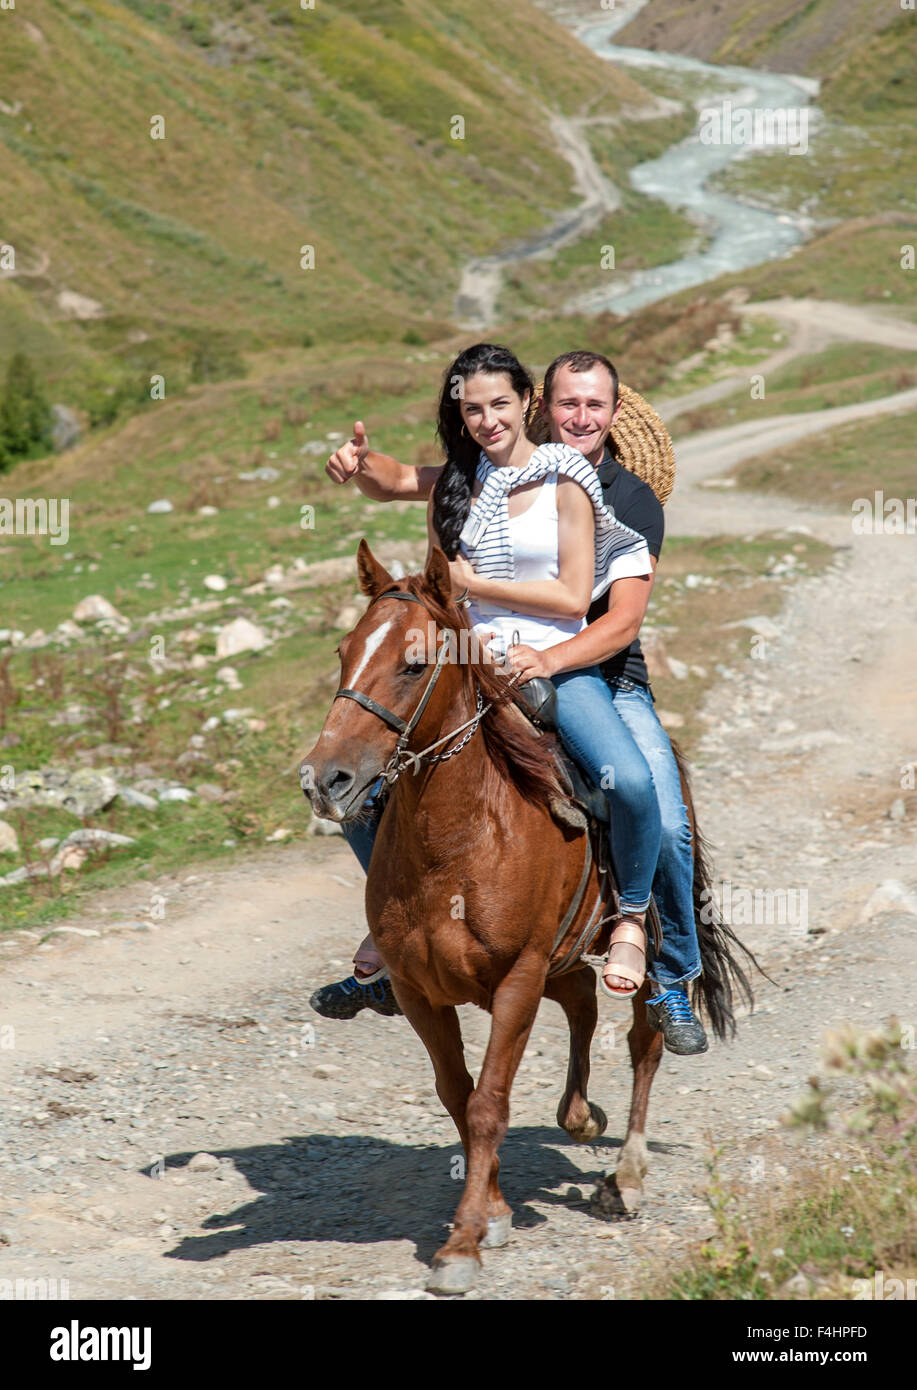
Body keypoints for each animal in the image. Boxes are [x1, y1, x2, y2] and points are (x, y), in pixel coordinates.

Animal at [301, 539, 750, 1289]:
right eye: (343, 651)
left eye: (413, 664)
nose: (323, 779)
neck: (458, 843)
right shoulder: (421, 992)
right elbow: (457, 1095)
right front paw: (494, 1211)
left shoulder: (515, 981)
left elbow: (488, 1103)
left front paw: (462, 1245)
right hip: (558, 961)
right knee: (582, 1003)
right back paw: (580, 1117)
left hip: (631, 950)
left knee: (644, 1041)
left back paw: (625, 1176)